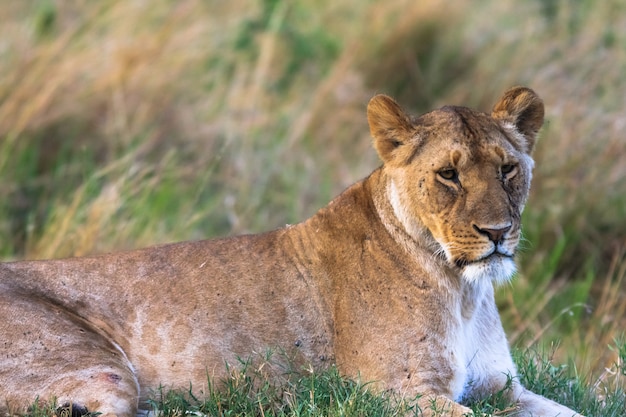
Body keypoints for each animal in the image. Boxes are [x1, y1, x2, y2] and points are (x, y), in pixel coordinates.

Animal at [0, 85, 580, 416]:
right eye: (448, 175)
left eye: (507, 168)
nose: (498, 232)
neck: (463, 290)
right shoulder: (393, 392)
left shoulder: (501, 388)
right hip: (103, 375)